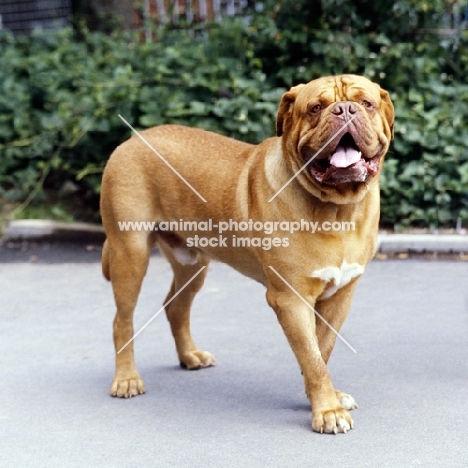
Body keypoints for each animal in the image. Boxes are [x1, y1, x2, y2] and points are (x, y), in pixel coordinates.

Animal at [100, 74, 394, 436]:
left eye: (366, 103)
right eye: (316, 108)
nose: (345, 110)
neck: (337, 210)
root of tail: (131, 141)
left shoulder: (340, 295)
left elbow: (321, 349)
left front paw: (322, 398)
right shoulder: (291, 298)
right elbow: (312, 356)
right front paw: (327, 410)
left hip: (193, 262)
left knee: (176, 306)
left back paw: (190, 356)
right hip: (131, 253)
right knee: (122, 320)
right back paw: (127, 379)